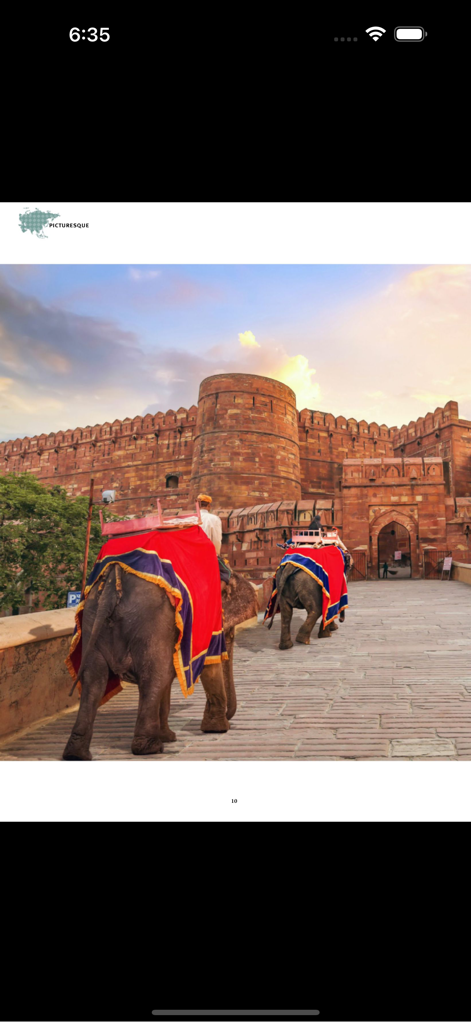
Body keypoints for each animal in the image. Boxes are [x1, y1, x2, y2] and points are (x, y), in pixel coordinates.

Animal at [63, 564, 258, 760]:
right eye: (230, 634)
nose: (229, 718)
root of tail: (113, 581)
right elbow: (207, 666)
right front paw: (216, 728)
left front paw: (170, 736)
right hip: (150, 622)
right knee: (153, 678)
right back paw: (150, 747)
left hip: (92, 619)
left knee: (94, 681)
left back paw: (76, 753)